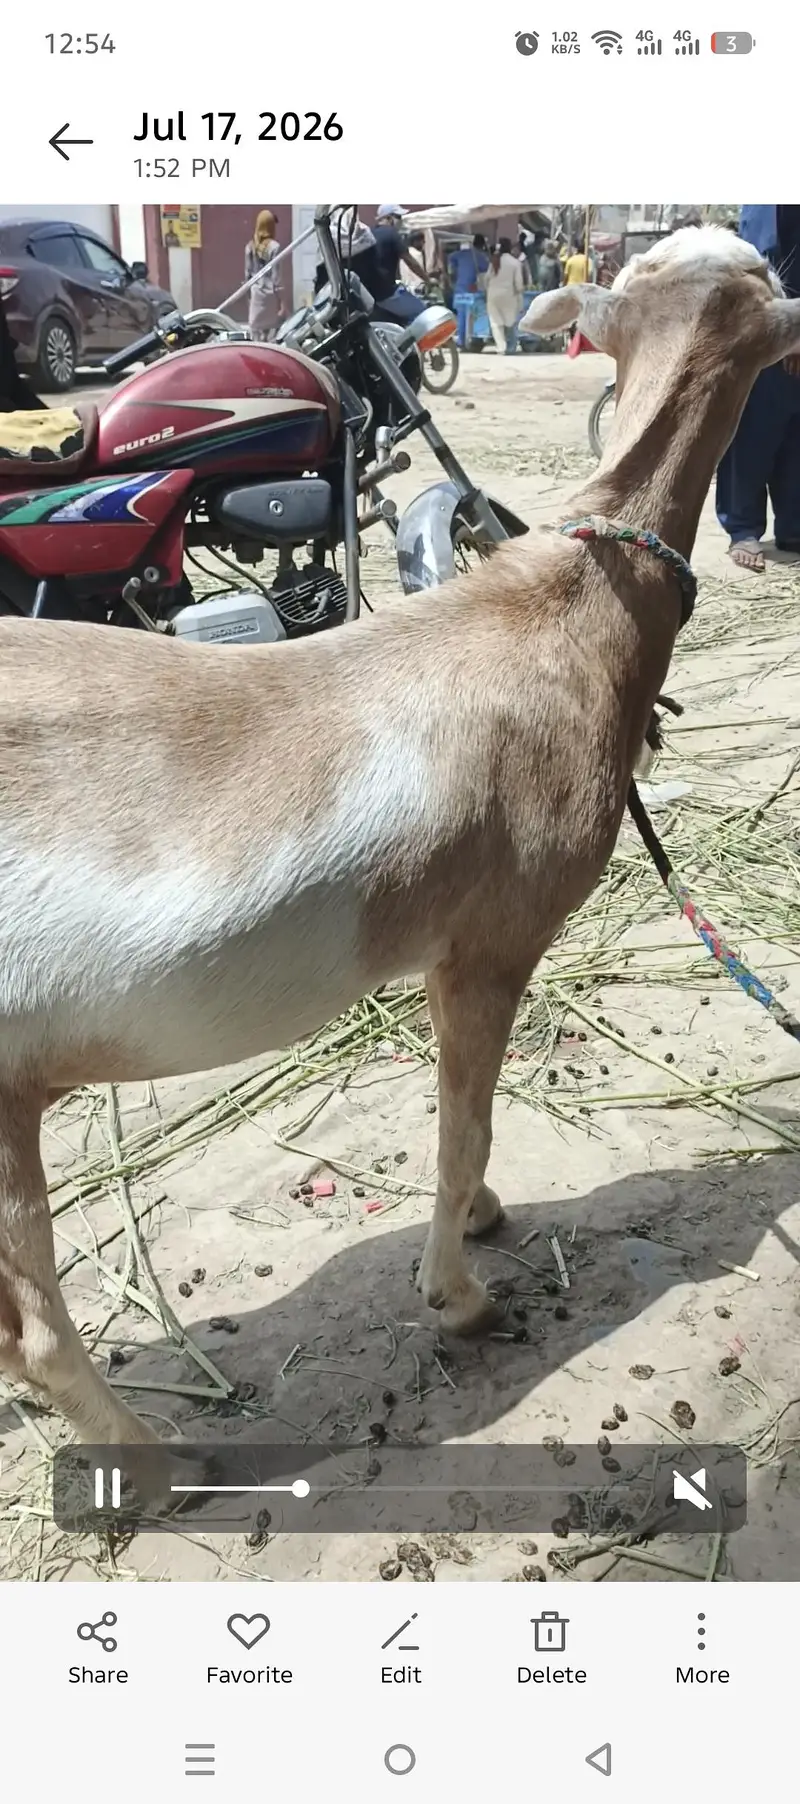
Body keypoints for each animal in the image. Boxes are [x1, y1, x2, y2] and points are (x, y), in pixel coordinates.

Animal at [2, 228, 799, 1448]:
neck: (565, 607)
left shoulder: (437, 951)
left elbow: (457, 1116)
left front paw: (479, 1218)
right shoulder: (492, 944)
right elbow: (466, 1125)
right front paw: (460, 1293)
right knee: (39, 1336)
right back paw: (155, 1460)